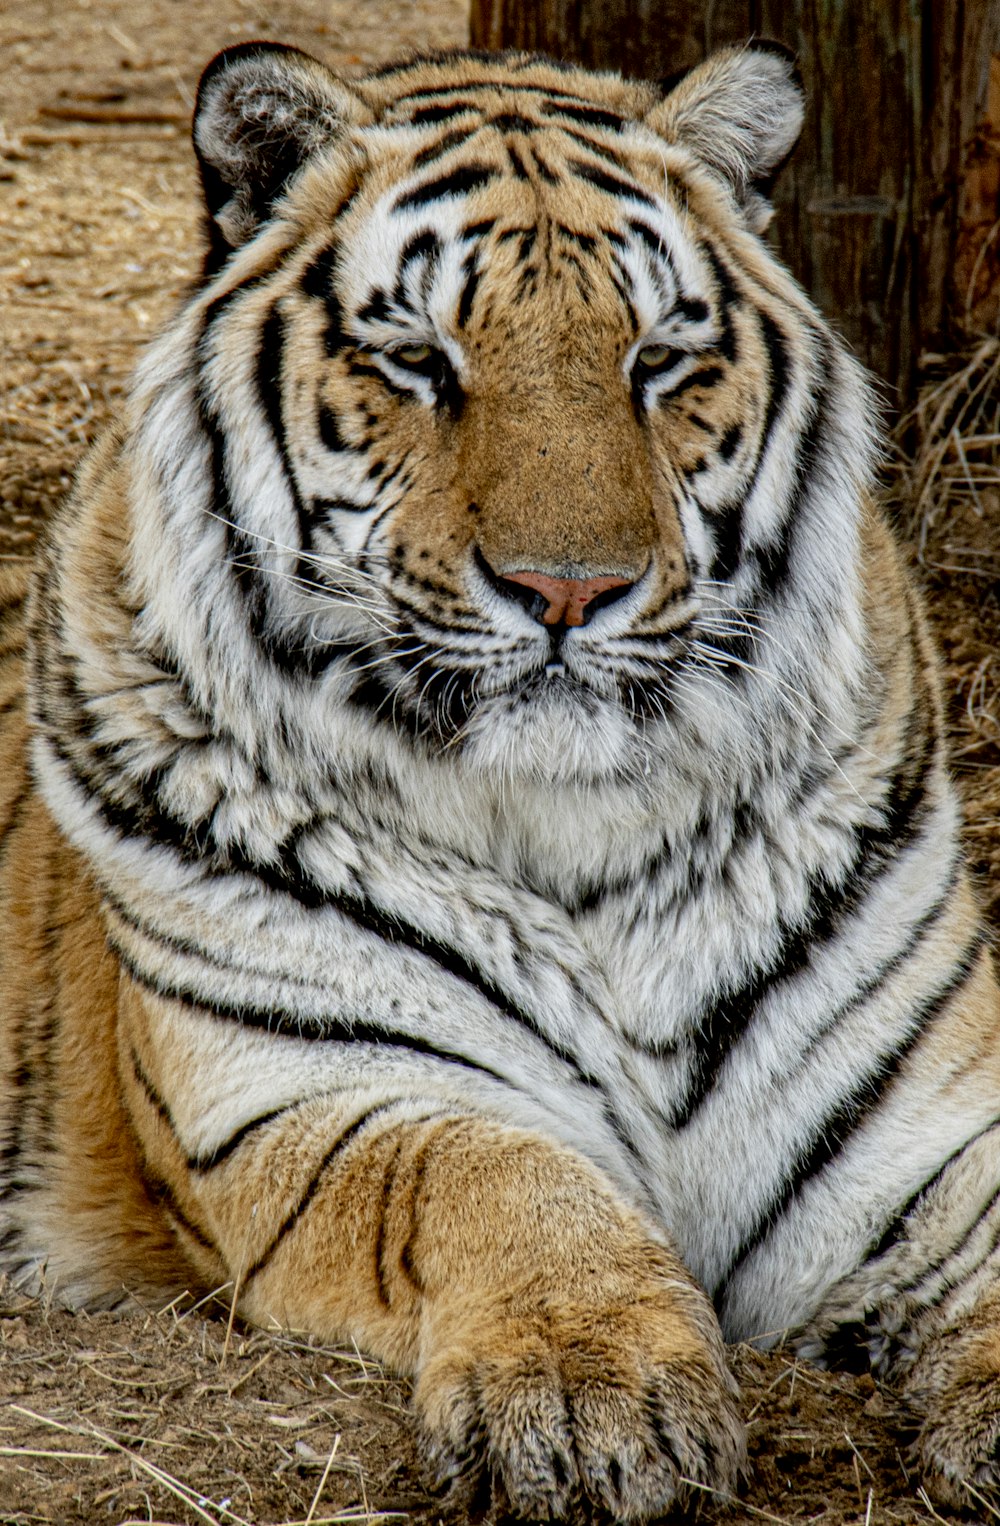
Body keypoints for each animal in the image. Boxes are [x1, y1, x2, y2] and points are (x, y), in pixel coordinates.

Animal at [1, 32, 1000, 1513]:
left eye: (660, 359)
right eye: (419, 360)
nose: (568, 590)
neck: (576, 825)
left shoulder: (921, 1121)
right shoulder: (312, 1093)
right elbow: (495, 1177)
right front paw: (590, 1392)